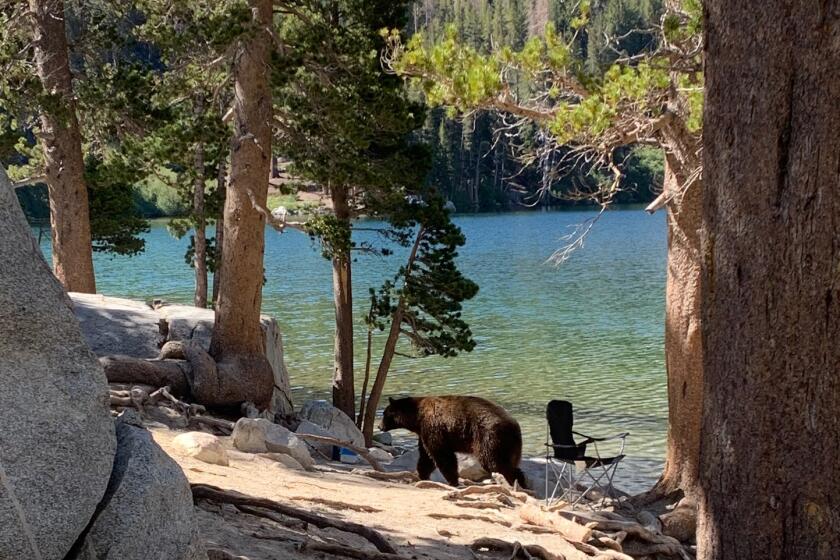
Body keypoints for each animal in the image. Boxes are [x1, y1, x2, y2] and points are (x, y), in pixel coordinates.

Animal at [378, 396, 524, 488]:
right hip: (511, 445)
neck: (417, 417)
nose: (379, 426)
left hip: (489, 437)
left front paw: (453, 481)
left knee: (494, 461)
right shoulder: (425, 433)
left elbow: (441, 455)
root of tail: (513, 425)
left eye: (385, 414)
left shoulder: (433, 428)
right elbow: (426, 456)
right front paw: (422, 474)